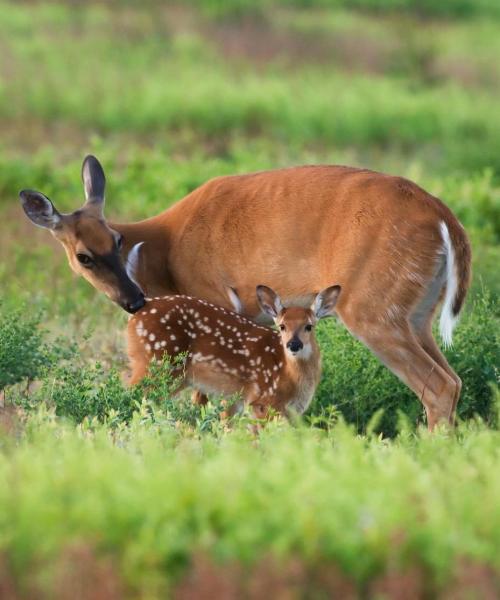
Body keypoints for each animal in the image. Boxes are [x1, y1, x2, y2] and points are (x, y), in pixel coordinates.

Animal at [19, 155, 470, 426]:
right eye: (84, 256)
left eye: (115, 240)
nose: (134, 300)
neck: (163, 251)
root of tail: (444, 217)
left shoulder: (214, 297)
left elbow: (206, 396)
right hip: (417, 313)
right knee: (454, 378)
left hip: (371, 306)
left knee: (438, 385)